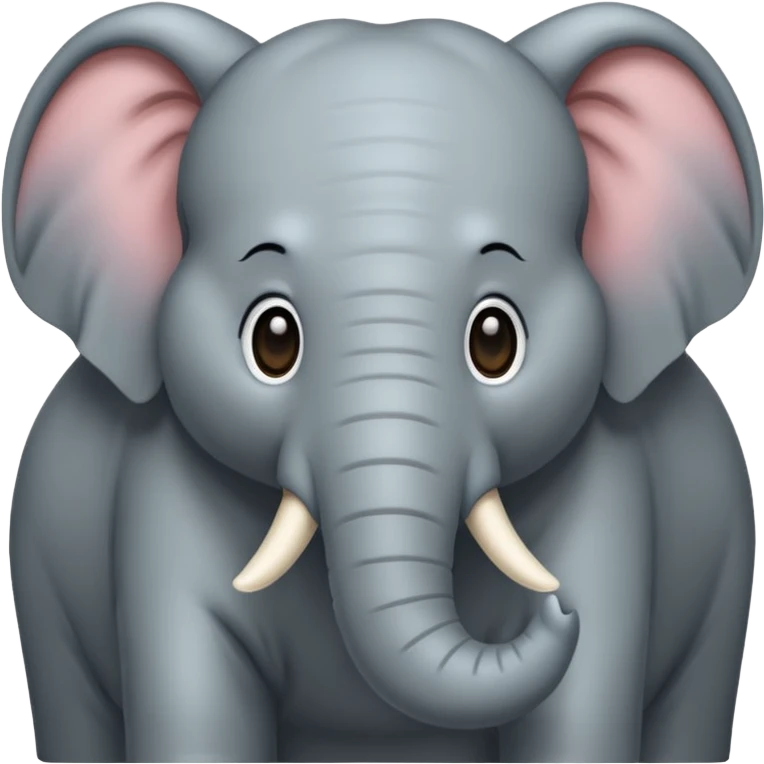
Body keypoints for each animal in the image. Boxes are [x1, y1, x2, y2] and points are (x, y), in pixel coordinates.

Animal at [4, 1, 759, 762]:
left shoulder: (608, 487)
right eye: (272, 341)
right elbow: (195, 710)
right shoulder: (163, 498)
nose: (557, 608)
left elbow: (578, 718)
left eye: (496, 342)